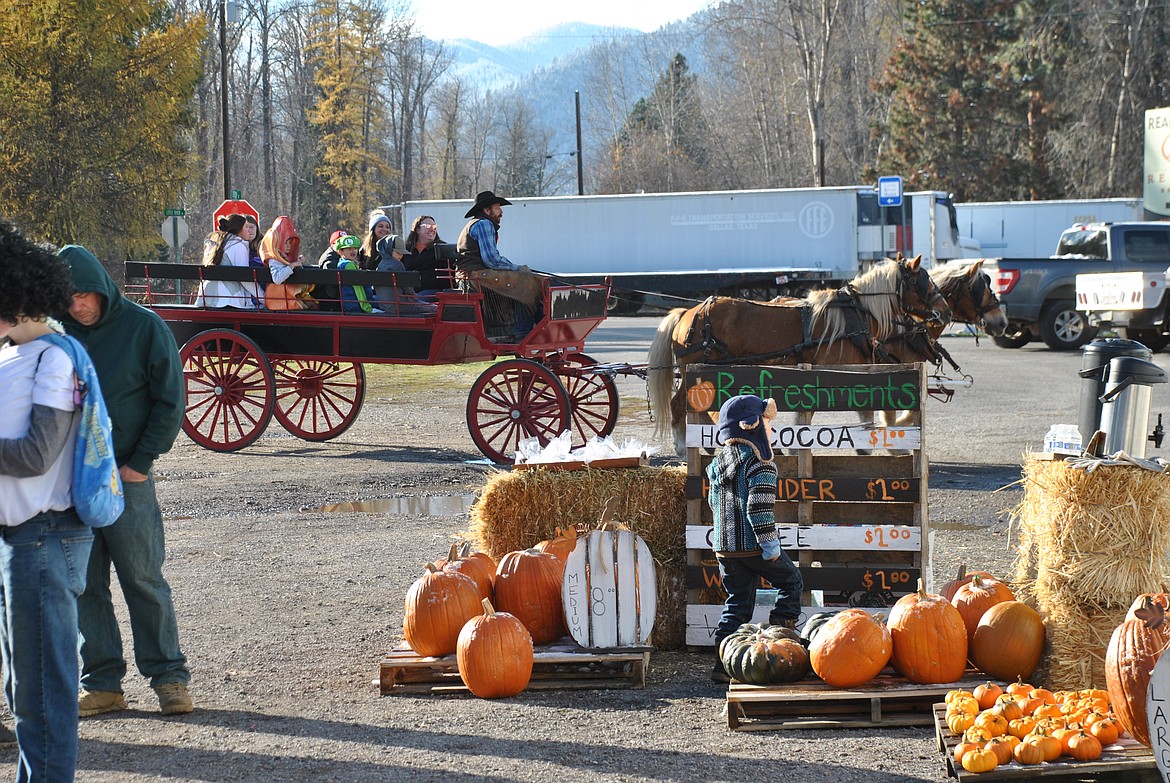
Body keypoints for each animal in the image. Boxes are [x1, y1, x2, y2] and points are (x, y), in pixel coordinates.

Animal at [650, 256, 950, 451]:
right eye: (924, 281)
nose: (945, 313)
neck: (853, 316)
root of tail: (688, 313)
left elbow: (862, 415)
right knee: (678, 407)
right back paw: (682, 447)